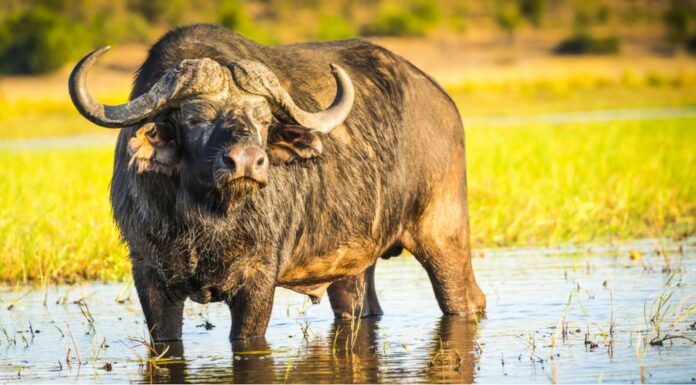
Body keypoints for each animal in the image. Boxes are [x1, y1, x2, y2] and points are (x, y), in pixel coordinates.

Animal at [68, 23, 486, 340]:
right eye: (194, 118)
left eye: (264, 119)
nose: (247, 162)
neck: (205, 218)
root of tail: (442, 101)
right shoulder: (150, 277)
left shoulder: (257, 280)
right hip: (354, 266)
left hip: (444, 235)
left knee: (467, 299)